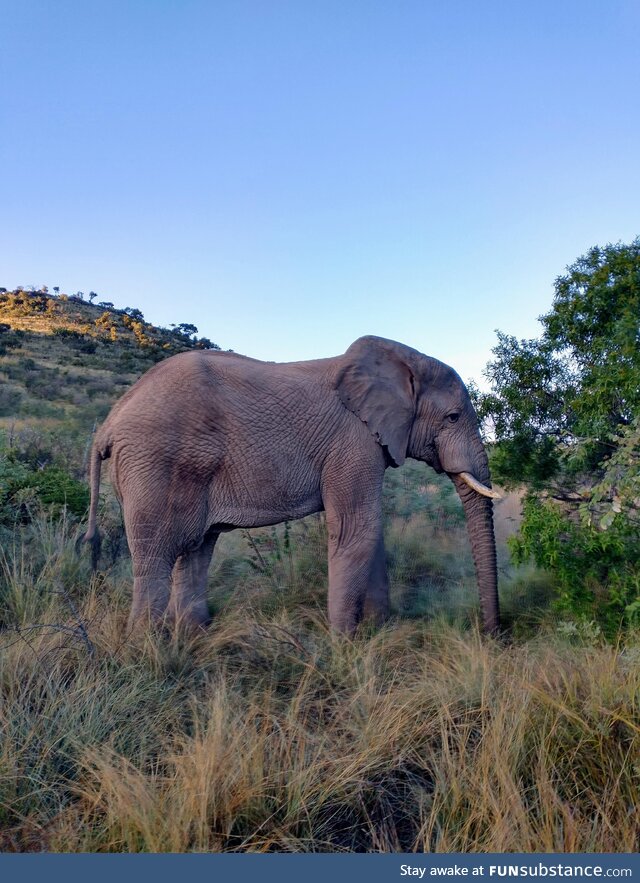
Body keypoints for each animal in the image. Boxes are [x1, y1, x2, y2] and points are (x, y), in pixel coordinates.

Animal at [84, 336, 500, 636]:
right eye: (453, 417)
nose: (491, 634)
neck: (402, 360)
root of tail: (109, 422)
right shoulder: (353, 442)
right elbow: (357, 530)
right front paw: (345, 646)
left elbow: (370, 532)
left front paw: (378, 632)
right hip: (156, 462)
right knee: (158, 554)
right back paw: (148, 649)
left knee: (197, 549)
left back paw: (194, 635)